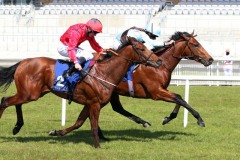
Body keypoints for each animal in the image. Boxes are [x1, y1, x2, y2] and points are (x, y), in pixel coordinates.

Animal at [0, 37, 162, 148]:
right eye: (142, 49)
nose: (159, 61)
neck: (104, 73)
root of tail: (22, 62)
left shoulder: (89, 103)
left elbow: (78, 123)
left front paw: (56, 132)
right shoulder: (95, 104)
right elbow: (93, 125)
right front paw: (98, 146)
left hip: (30, 93)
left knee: (14, 102)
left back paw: (17, 127)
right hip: (30, 94)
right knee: (5, 101)